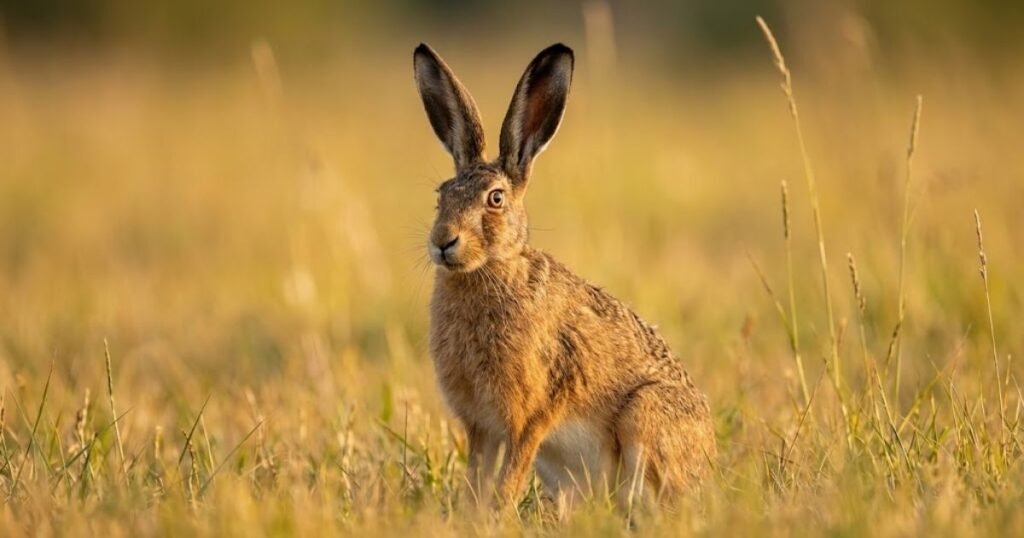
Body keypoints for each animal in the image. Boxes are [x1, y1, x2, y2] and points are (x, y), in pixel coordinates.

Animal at [413, 42, 716, 513]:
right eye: (440, 196)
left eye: (495, 199)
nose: (444, 242)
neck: (492, 270)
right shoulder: (481, 427)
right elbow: (476, 483)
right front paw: (470, 516)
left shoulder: (530, 418)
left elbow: (507, 482)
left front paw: (494, 516)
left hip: (644, 415)